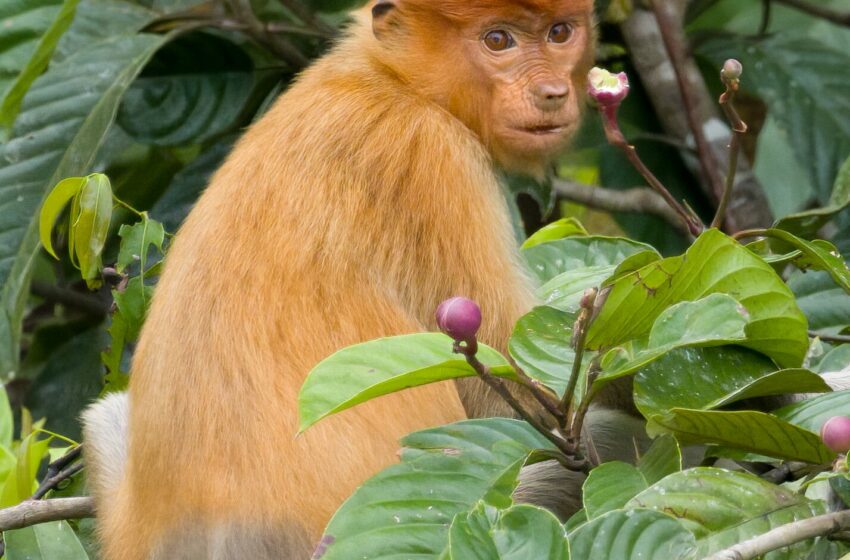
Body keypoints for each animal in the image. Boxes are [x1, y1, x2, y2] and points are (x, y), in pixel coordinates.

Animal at [83, 0, 592, 556]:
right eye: (498, 40)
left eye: (560, 32)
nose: (553, 93)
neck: (389, 78)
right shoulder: (433, 155)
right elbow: (514, 383)